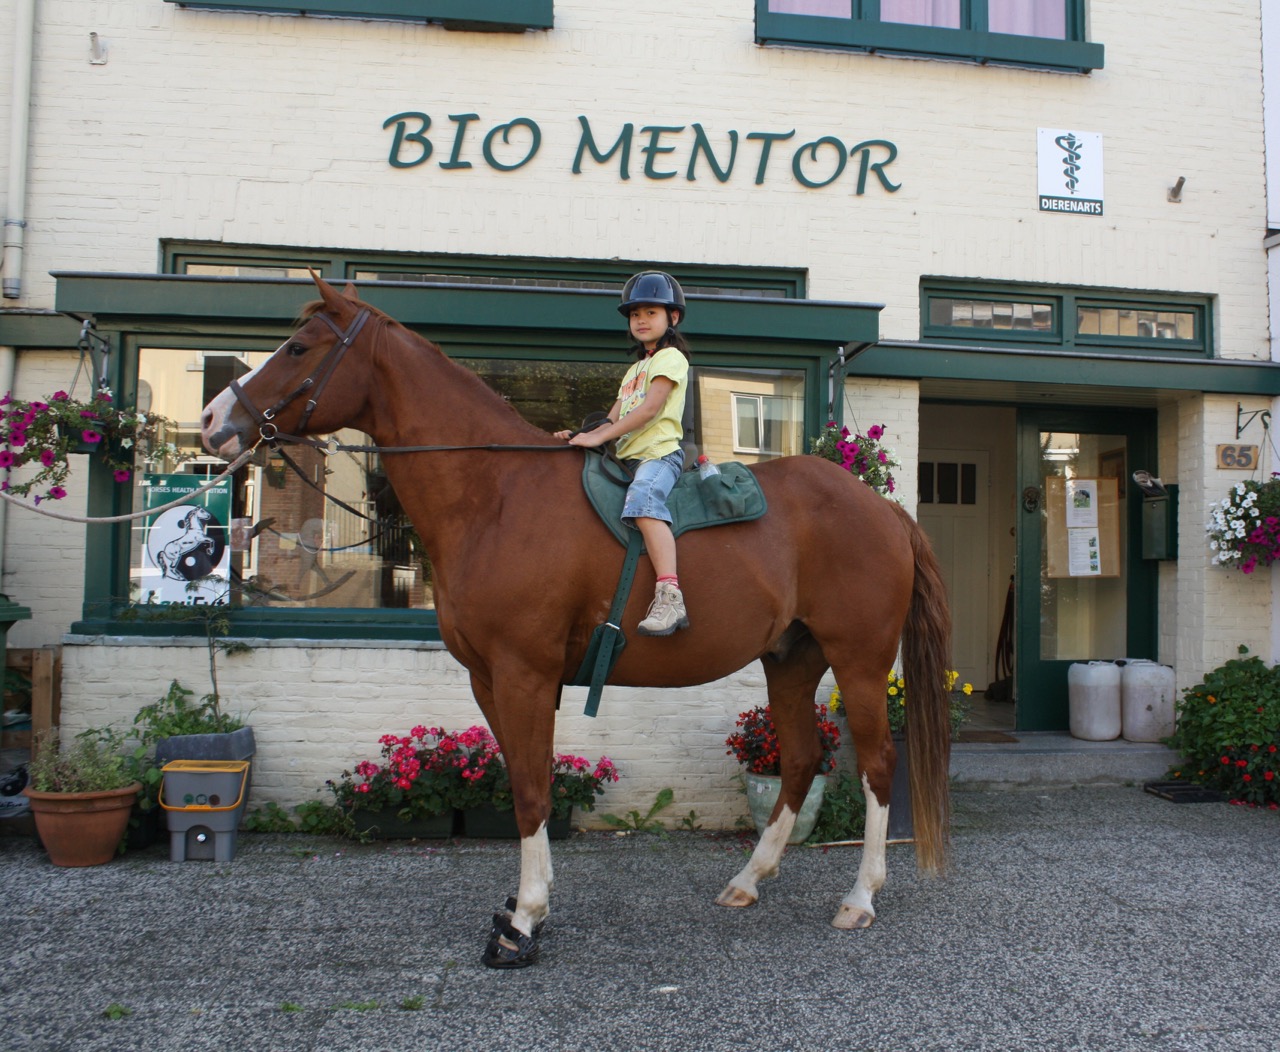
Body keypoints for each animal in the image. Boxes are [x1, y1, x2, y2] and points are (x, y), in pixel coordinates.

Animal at [199, 273, 957, 972]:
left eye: (299, 347)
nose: (213, 421)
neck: (496, 495)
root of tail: (883, 509)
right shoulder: (488, 679)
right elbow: (521, 780)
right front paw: (524, 906)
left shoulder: (524, 675)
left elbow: (534, 791)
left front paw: (524, 922)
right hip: (791, 661)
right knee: (800, 759)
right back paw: (748, 880)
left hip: (859, 662)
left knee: (878, 766)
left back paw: (859, 898)